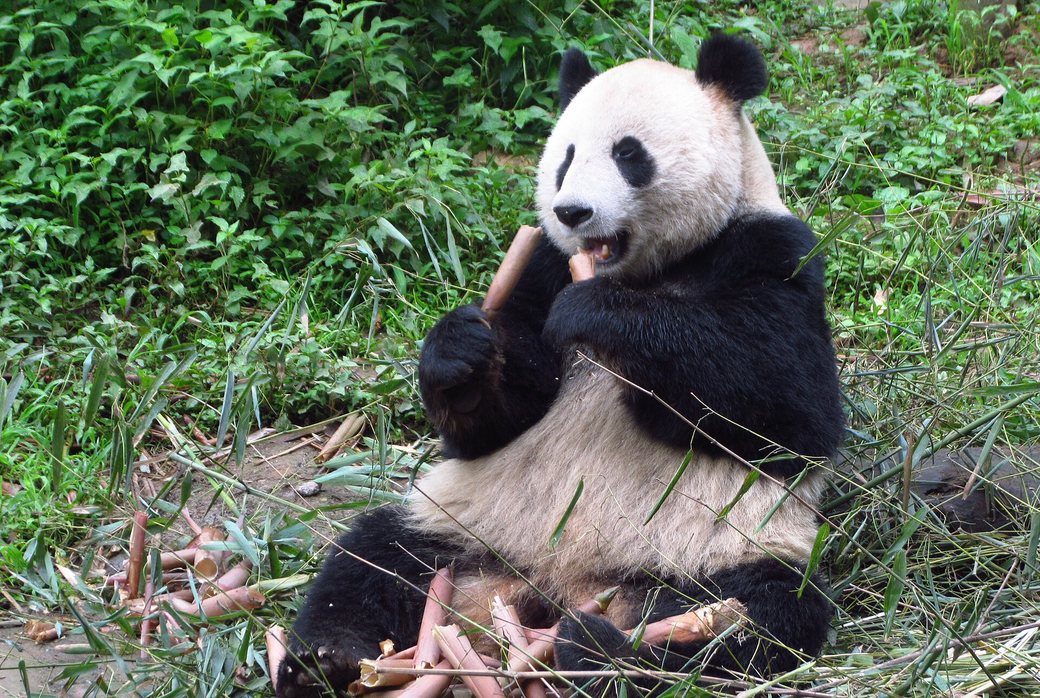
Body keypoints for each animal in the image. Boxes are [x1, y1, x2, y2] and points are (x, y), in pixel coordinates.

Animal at [277, 35, 844, 697]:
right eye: (566, 157)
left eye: (629, 154)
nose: (571, 212)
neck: (644, 270)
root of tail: (550, 590)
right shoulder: (541, 264)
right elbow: (501, 415)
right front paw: (461, 354)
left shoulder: (774, 254)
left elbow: (785, 408)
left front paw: (600, 315)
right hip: (467, 527)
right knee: (373, 557)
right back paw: (327, 659)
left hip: (716, 549)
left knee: (759, 619)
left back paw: (603, 655)